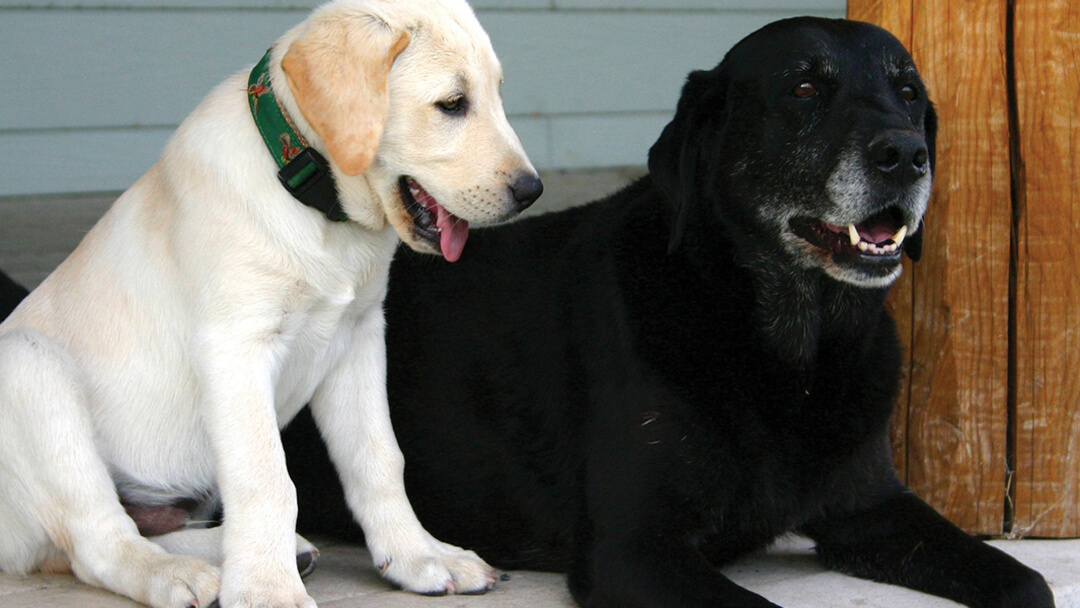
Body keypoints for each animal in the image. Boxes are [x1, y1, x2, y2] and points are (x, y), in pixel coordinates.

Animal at [0, 1, 540, 608]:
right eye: (452, 104)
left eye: (496, 94)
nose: (532, 191)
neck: (316, 200)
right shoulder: (236, 345)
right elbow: (266, 478)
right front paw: (265, 587)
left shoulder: (357, 336)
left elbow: (379, 459)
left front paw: (417, 554)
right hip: (28, 368)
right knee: (97, 544)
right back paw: (176, 573)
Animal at [282, 16, 1049, 608]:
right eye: (804, 88)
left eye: (909, 92)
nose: (907, 154)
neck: (785, 348)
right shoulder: (634, 545)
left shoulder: (870, 508)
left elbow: (1030, 584)